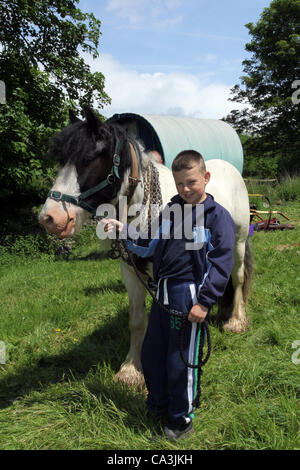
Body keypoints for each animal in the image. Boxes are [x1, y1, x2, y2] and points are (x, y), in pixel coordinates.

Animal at [39, 106, 251, 390]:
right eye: (61, 160)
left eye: (90, 157)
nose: (50, 218)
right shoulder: (131, 271)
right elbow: (137, 320)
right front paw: (131, 369)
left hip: (238, 242)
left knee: (237, 278)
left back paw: (236, 320)